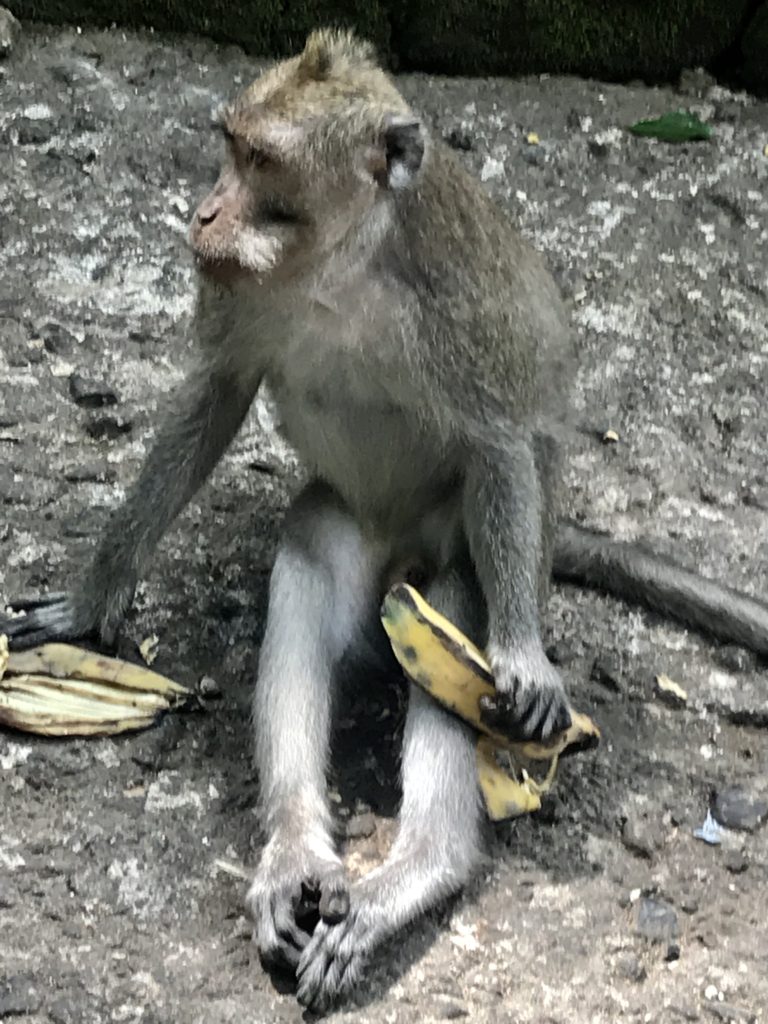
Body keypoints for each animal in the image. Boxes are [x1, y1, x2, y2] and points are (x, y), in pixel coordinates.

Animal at [2, 28, 768, 1014]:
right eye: (229, 146)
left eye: (261, 160)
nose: (204, 215)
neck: (338, 265)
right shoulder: (239, 297)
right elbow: (216, 394)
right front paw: (96, 595)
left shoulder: (458, 306)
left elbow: (497, 442)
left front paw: (524, 658)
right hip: (352, 534)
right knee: (311, 550)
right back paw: (295, 854)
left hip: (458, 569)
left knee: (460, 606)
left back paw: (415, 872)